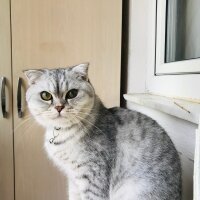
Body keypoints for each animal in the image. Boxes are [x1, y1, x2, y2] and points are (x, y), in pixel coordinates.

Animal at [23, 63, 181, 200]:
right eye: (46, 96)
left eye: (72, 93)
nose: (59, 107)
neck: (62, 132)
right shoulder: (73, 180)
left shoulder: (92, 178)